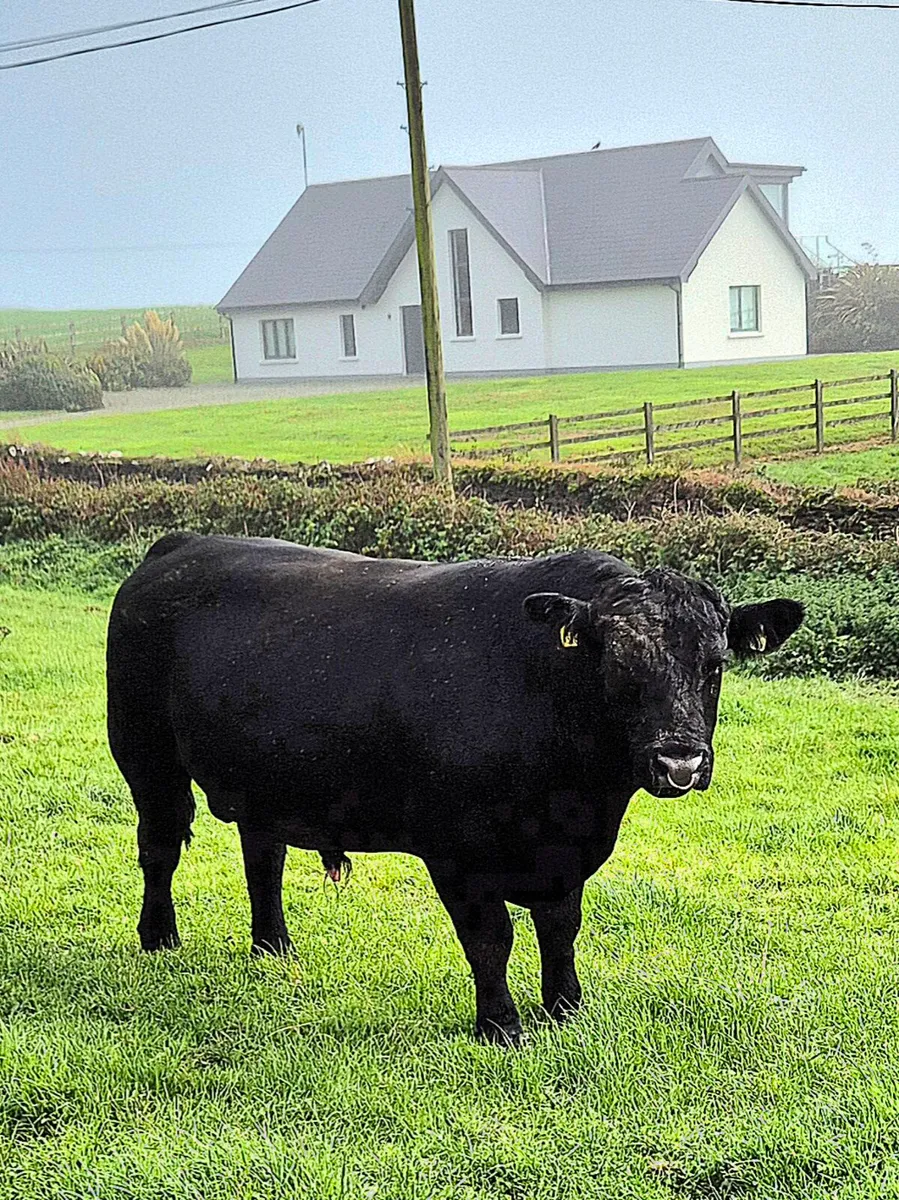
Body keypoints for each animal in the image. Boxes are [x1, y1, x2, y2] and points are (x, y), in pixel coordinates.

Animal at [107, 532, 803, 1045]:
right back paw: (159, 938)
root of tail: (182, 544)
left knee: (263, 857)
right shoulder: (457, 853)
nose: (679, 761)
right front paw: (501, 1025)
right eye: (616, 663)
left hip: (265, 778)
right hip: (146, 758)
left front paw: (565, 1009)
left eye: (715, 664)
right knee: (159, 848)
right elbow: (491, 939)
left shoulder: (566, 852)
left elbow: (560, 927)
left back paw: (274, 947)